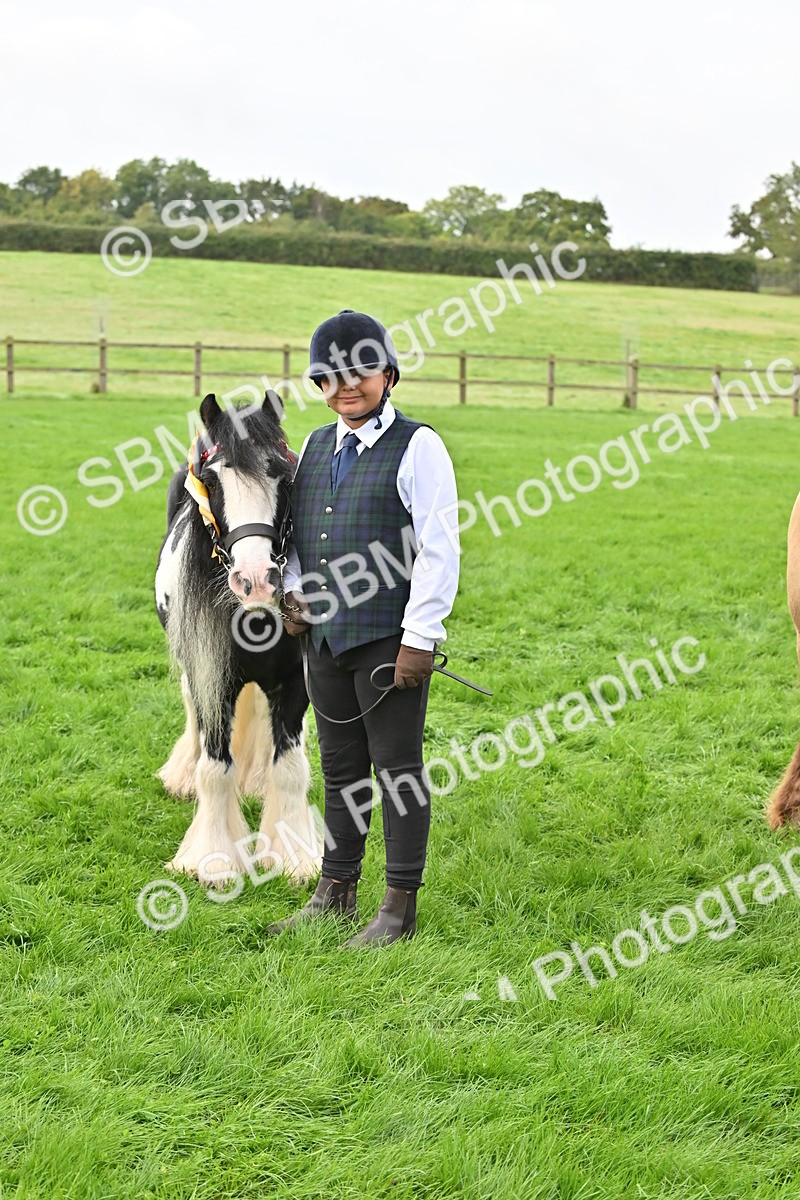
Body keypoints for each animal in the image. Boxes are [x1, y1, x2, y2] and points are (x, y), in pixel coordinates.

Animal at [154, 391, 321, 886]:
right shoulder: (210, 678)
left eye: (285, 475)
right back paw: (183, 776)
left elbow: (289, 768)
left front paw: (293, 857)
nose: (256, 580)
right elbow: (215, 768)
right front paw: (212, 858)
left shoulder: (295, 681)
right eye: (212, 479)